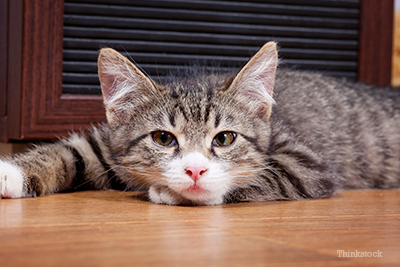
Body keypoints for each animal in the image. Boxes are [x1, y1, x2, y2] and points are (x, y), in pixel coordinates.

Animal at [0, 41, 400, 205]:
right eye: (163, 138)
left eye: (224, 139)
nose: (194, 170)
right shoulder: (108, 144)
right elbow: (72, 151)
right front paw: (10, 174)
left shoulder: (307, 163)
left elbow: (264, 175)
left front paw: (181, 190)